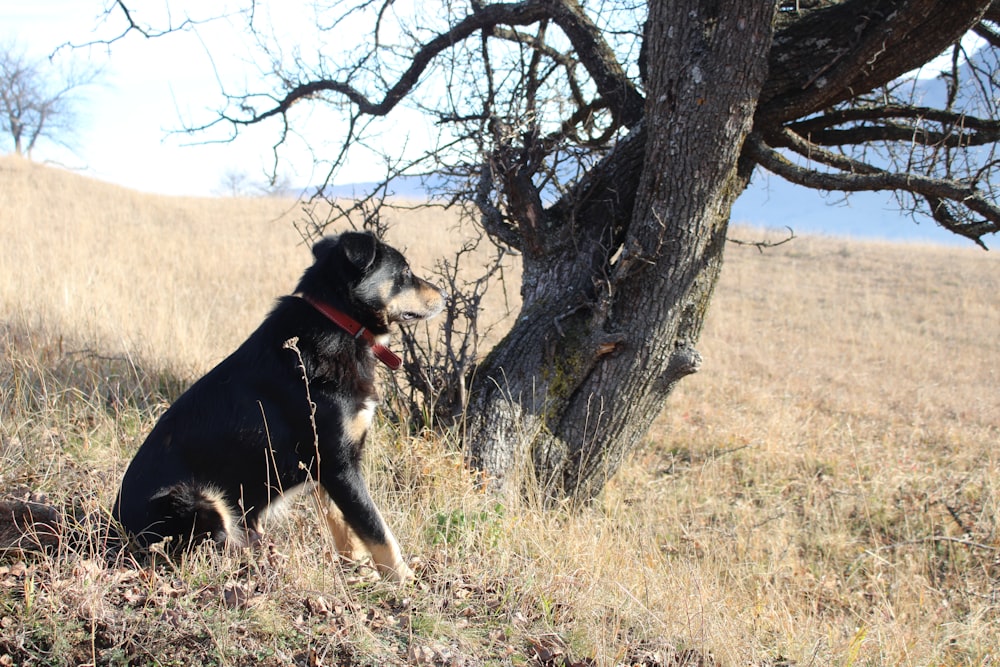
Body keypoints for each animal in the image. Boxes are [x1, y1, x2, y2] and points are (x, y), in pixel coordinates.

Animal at [113, 232, 446, 580]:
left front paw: (358, 570)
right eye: (404, 272)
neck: (338, 320)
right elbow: (376, 528)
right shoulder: (339, 463)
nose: (446, 296)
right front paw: (404, 579)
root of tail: (112, 529)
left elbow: (344, 525)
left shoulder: (327, 471)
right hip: (197, 501)